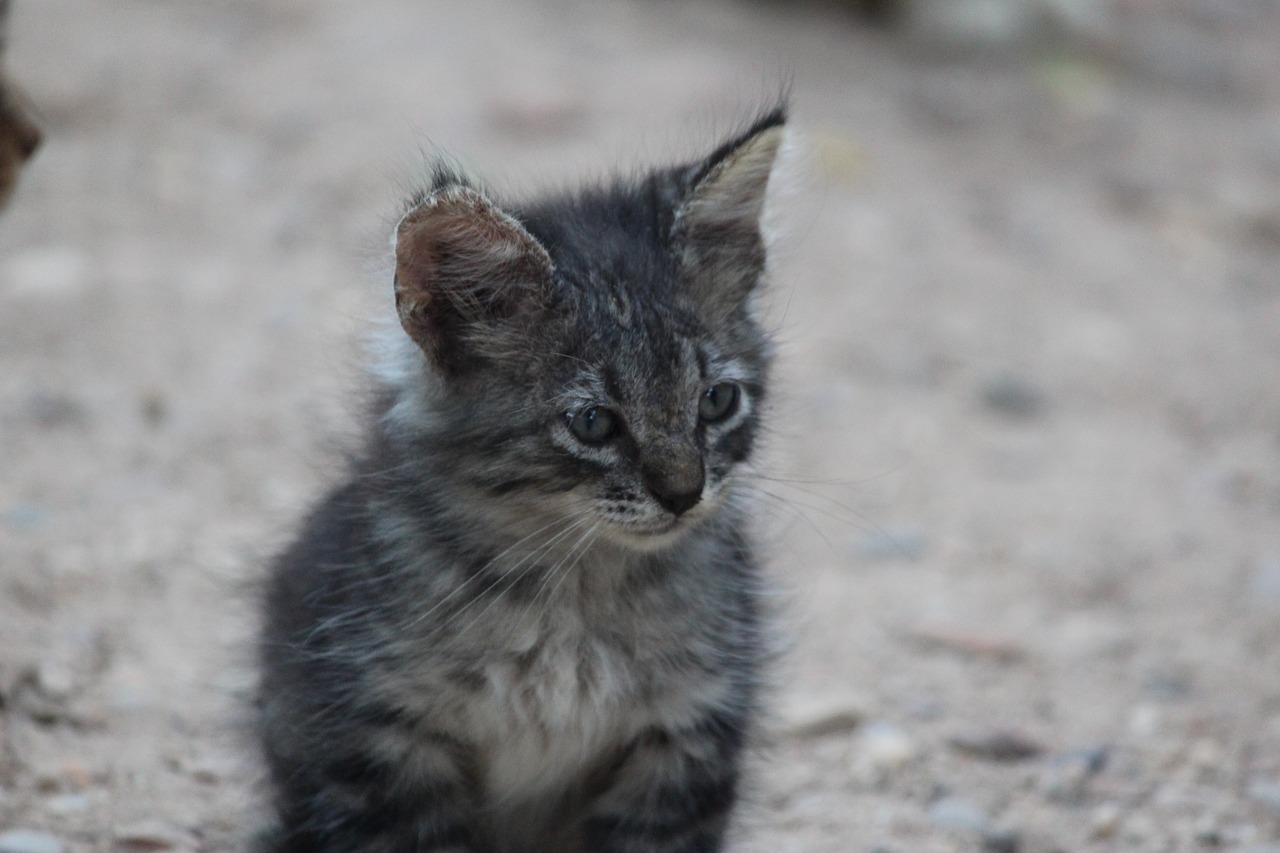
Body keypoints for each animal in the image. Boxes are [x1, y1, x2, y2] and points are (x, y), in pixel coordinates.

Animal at [256, 106, 783, 850]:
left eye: (716, 401)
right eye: (592, 422)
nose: (684, 493)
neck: (571, 595)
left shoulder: (686, 735)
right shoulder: (377, 733)